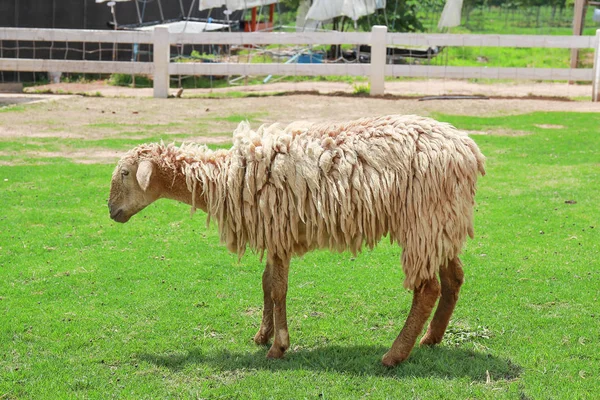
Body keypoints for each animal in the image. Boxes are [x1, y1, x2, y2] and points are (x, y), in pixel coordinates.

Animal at [108, 114, 486, 368]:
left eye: (125, 173)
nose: (111, 211)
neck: (223, 179)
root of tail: (468, 151)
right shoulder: (275, 234)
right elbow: (265, 284)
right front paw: (262, 335)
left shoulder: (278, 230)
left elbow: (277, 289)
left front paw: (278, 346)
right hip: (440, 223)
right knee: (454, 278)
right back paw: (431, 339)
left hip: (423, 219)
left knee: (427, 289)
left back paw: (394, 355)